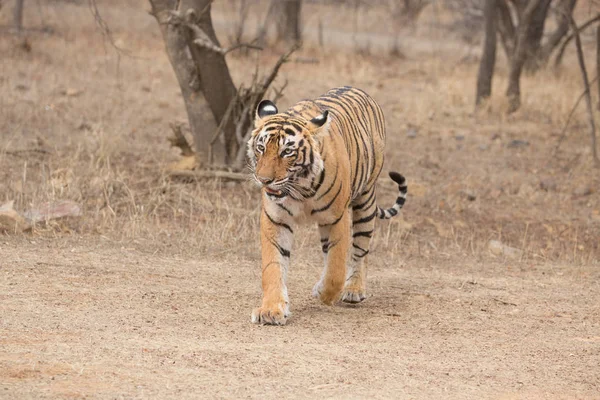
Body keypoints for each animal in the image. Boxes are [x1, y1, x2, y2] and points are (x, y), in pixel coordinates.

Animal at [246, 86, 406, 324]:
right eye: (260, 148)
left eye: (287, 152)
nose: (264, 180)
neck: (299, 189)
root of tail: (358, 89)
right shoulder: (276, 219)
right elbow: (273, 267)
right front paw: (271, 310)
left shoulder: (337, 218)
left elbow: (336, 267)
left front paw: (325, 293)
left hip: (366, 202)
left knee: (360, 250)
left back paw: (354, 289)